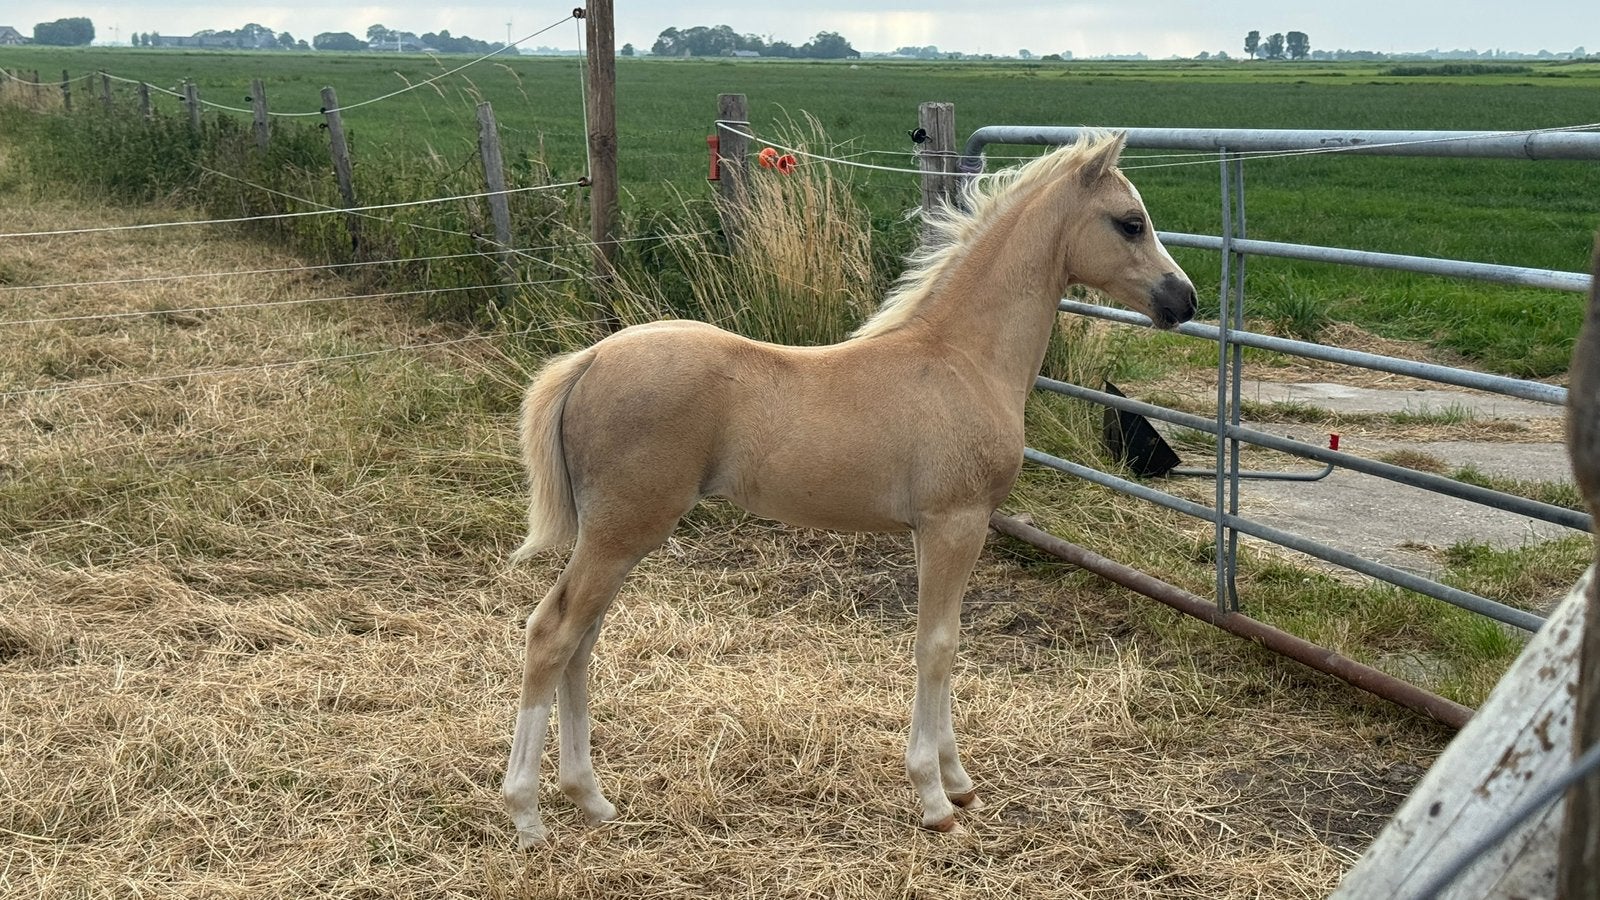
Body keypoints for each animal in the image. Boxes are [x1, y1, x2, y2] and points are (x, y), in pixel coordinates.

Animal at [501, 132, 1197, 847]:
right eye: (1131, 222)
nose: (1185, 301)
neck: (964, 360)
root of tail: (590, 360)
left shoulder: (931, 530)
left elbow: (940, 640)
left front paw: (959, 781)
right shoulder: (958, 522)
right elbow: (937, 646)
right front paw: (935, 798)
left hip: (613, 537)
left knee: (581, 641)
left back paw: (590, 798)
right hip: (622, 531)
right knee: (552, 634)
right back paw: (527, 813)